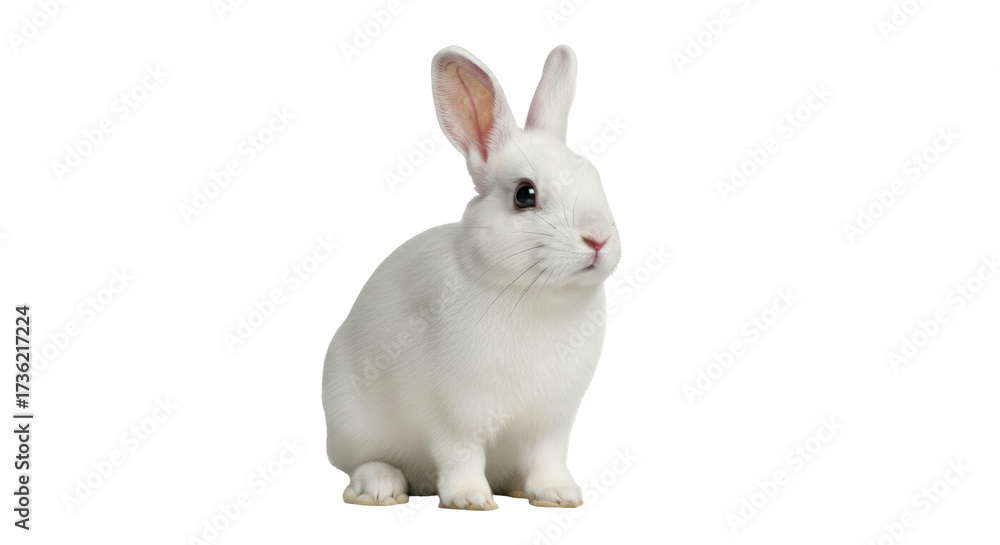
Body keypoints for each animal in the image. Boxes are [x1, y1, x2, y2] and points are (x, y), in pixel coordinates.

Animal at [322, 44, 620, 510]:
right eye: (525, 194)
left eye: (595, 177)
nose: (599, 238)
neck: (535, 295)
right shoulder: (454, 415)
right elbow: (460, 455)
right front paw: (470, 500)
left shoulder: (550, 422)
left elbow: (548, 458)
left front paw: (559, 495)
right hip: (351, 423)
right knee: (360, 463)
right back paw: (381, 488)